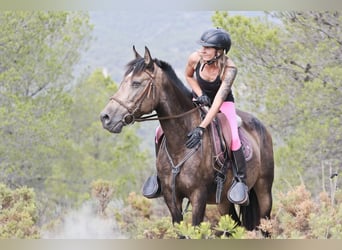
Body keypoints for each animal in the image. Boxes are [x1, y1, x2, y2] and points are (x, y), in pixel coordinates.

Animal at [99, 46, 276, 229]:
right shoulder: (172, 197)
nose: (105, 117)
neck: (180, 145)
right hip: (224, 202)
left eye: (136, 83)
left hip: (264, 192)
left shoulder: (198, 196)